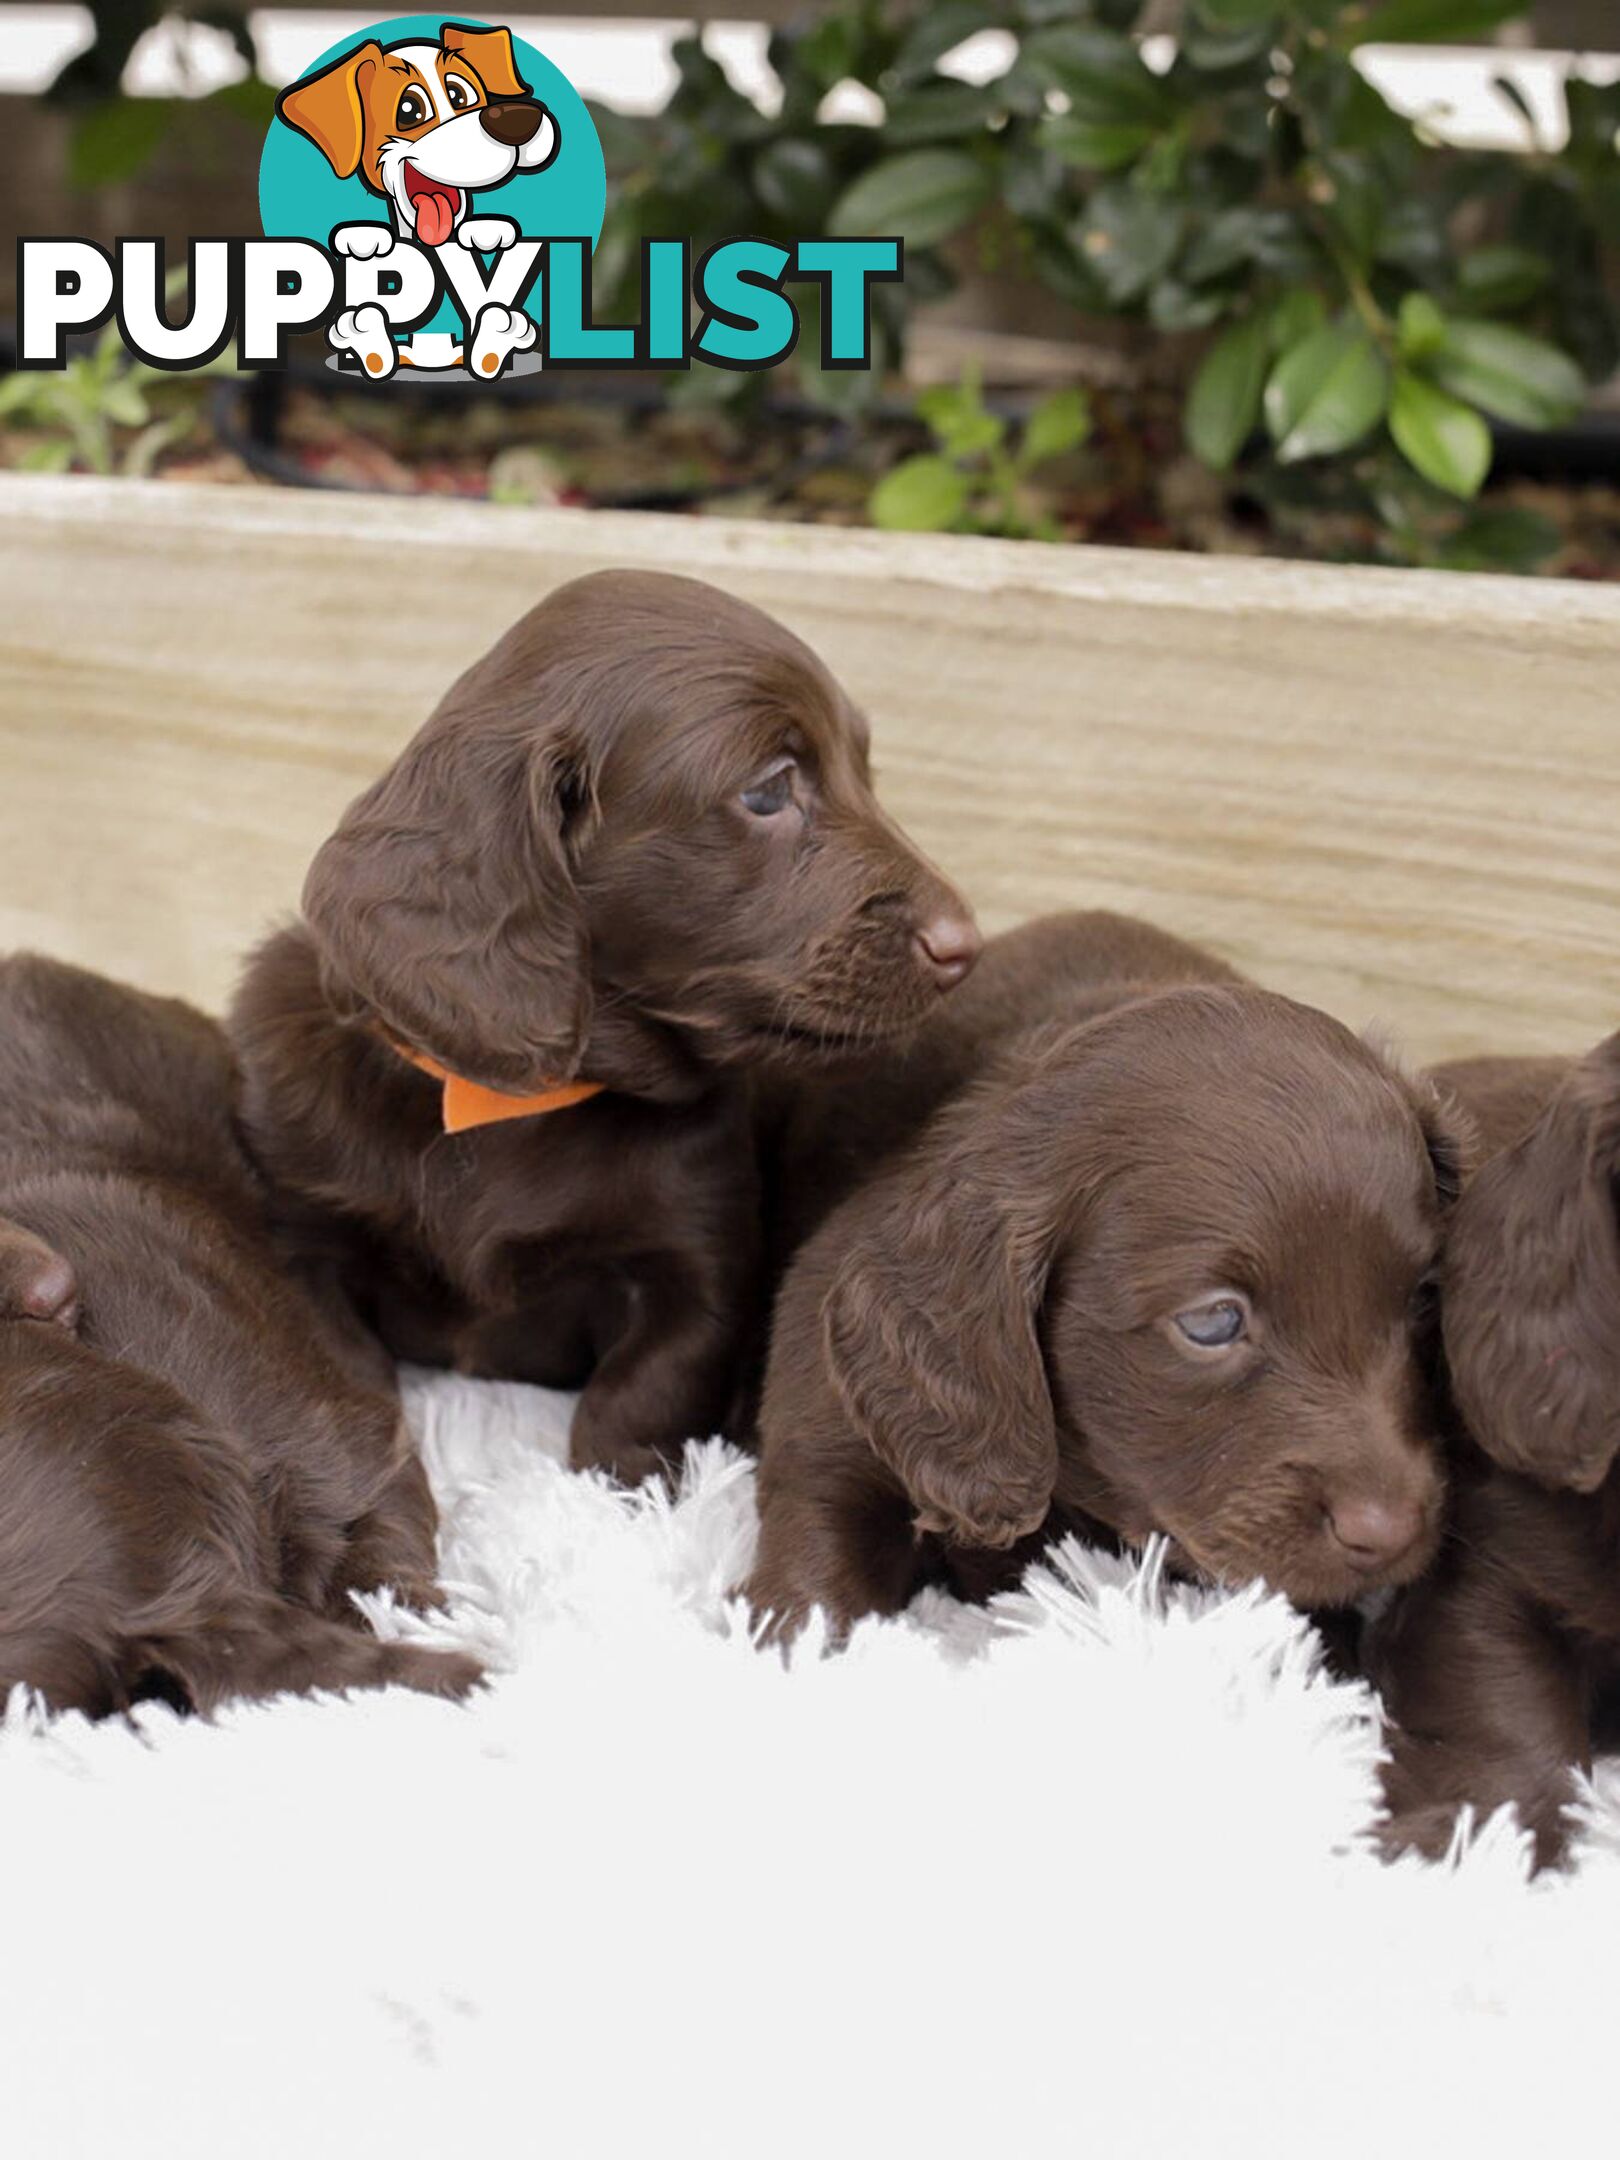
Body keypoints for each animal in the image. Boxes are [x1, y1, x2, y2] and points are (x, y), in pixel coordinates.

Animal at [233, 565, 984, 1494]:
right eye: (768, 790)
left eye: (866, 774)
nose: (967, 945)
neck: (508, 1104)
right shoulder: (309, 1246)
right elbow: (351, 1380)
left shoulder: (692, 1266)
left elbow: (639, 1393)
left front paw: (626, 1499)